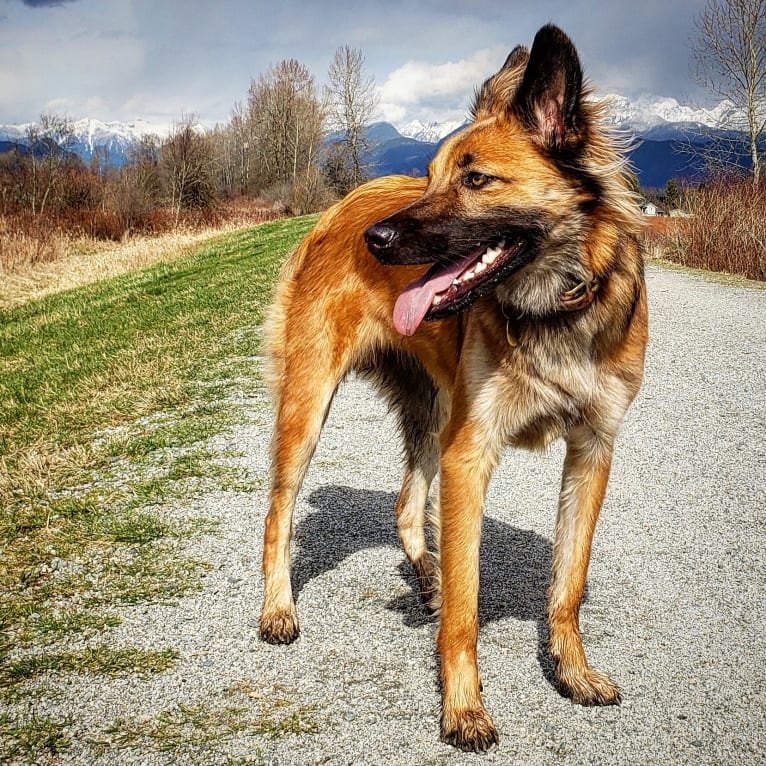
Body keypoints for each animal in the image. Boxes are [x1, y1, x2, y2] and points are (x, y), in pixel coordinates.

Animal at [258, 25, 648, 756]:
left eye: (475, 179)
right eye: (434, 175)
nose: (376, 240)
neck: (553, 307)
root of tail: (337, 211)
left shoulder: (592, 452)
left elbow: (568, 583)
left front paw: (573, 672)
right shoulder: (472, 454)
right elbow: (468, 607)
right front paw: (463, 708)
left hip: (431, 413)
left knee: (407, 506)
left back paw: (426, 573)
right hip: (310, 408)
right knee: (278, 514)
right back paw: (277, 608)